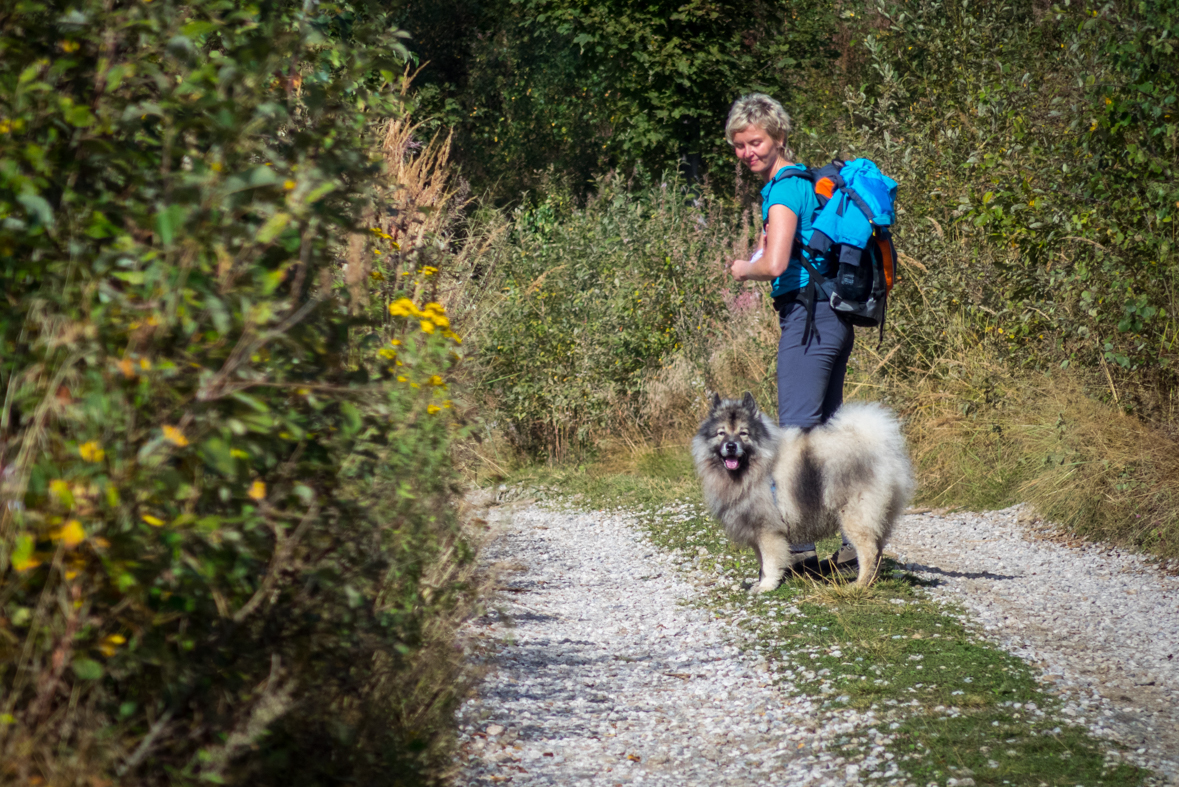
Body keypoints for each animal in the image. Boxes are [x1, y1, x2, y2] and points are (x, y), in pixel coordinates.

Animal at [693, 393, 914, 589]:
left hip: (855, 516)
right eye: (721, 433)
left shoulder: (768, 530)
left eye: (743, 433)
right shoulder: (755, 531)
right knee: (879, 549)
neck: (755, 467)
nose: (731, 446)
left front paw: (766, 585)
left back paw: (859, 585)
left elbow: (770, 562)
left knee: (869, 551)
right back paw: (871, 581)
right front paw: (762, 582)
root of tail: (879, 446)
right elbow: (763, 561)